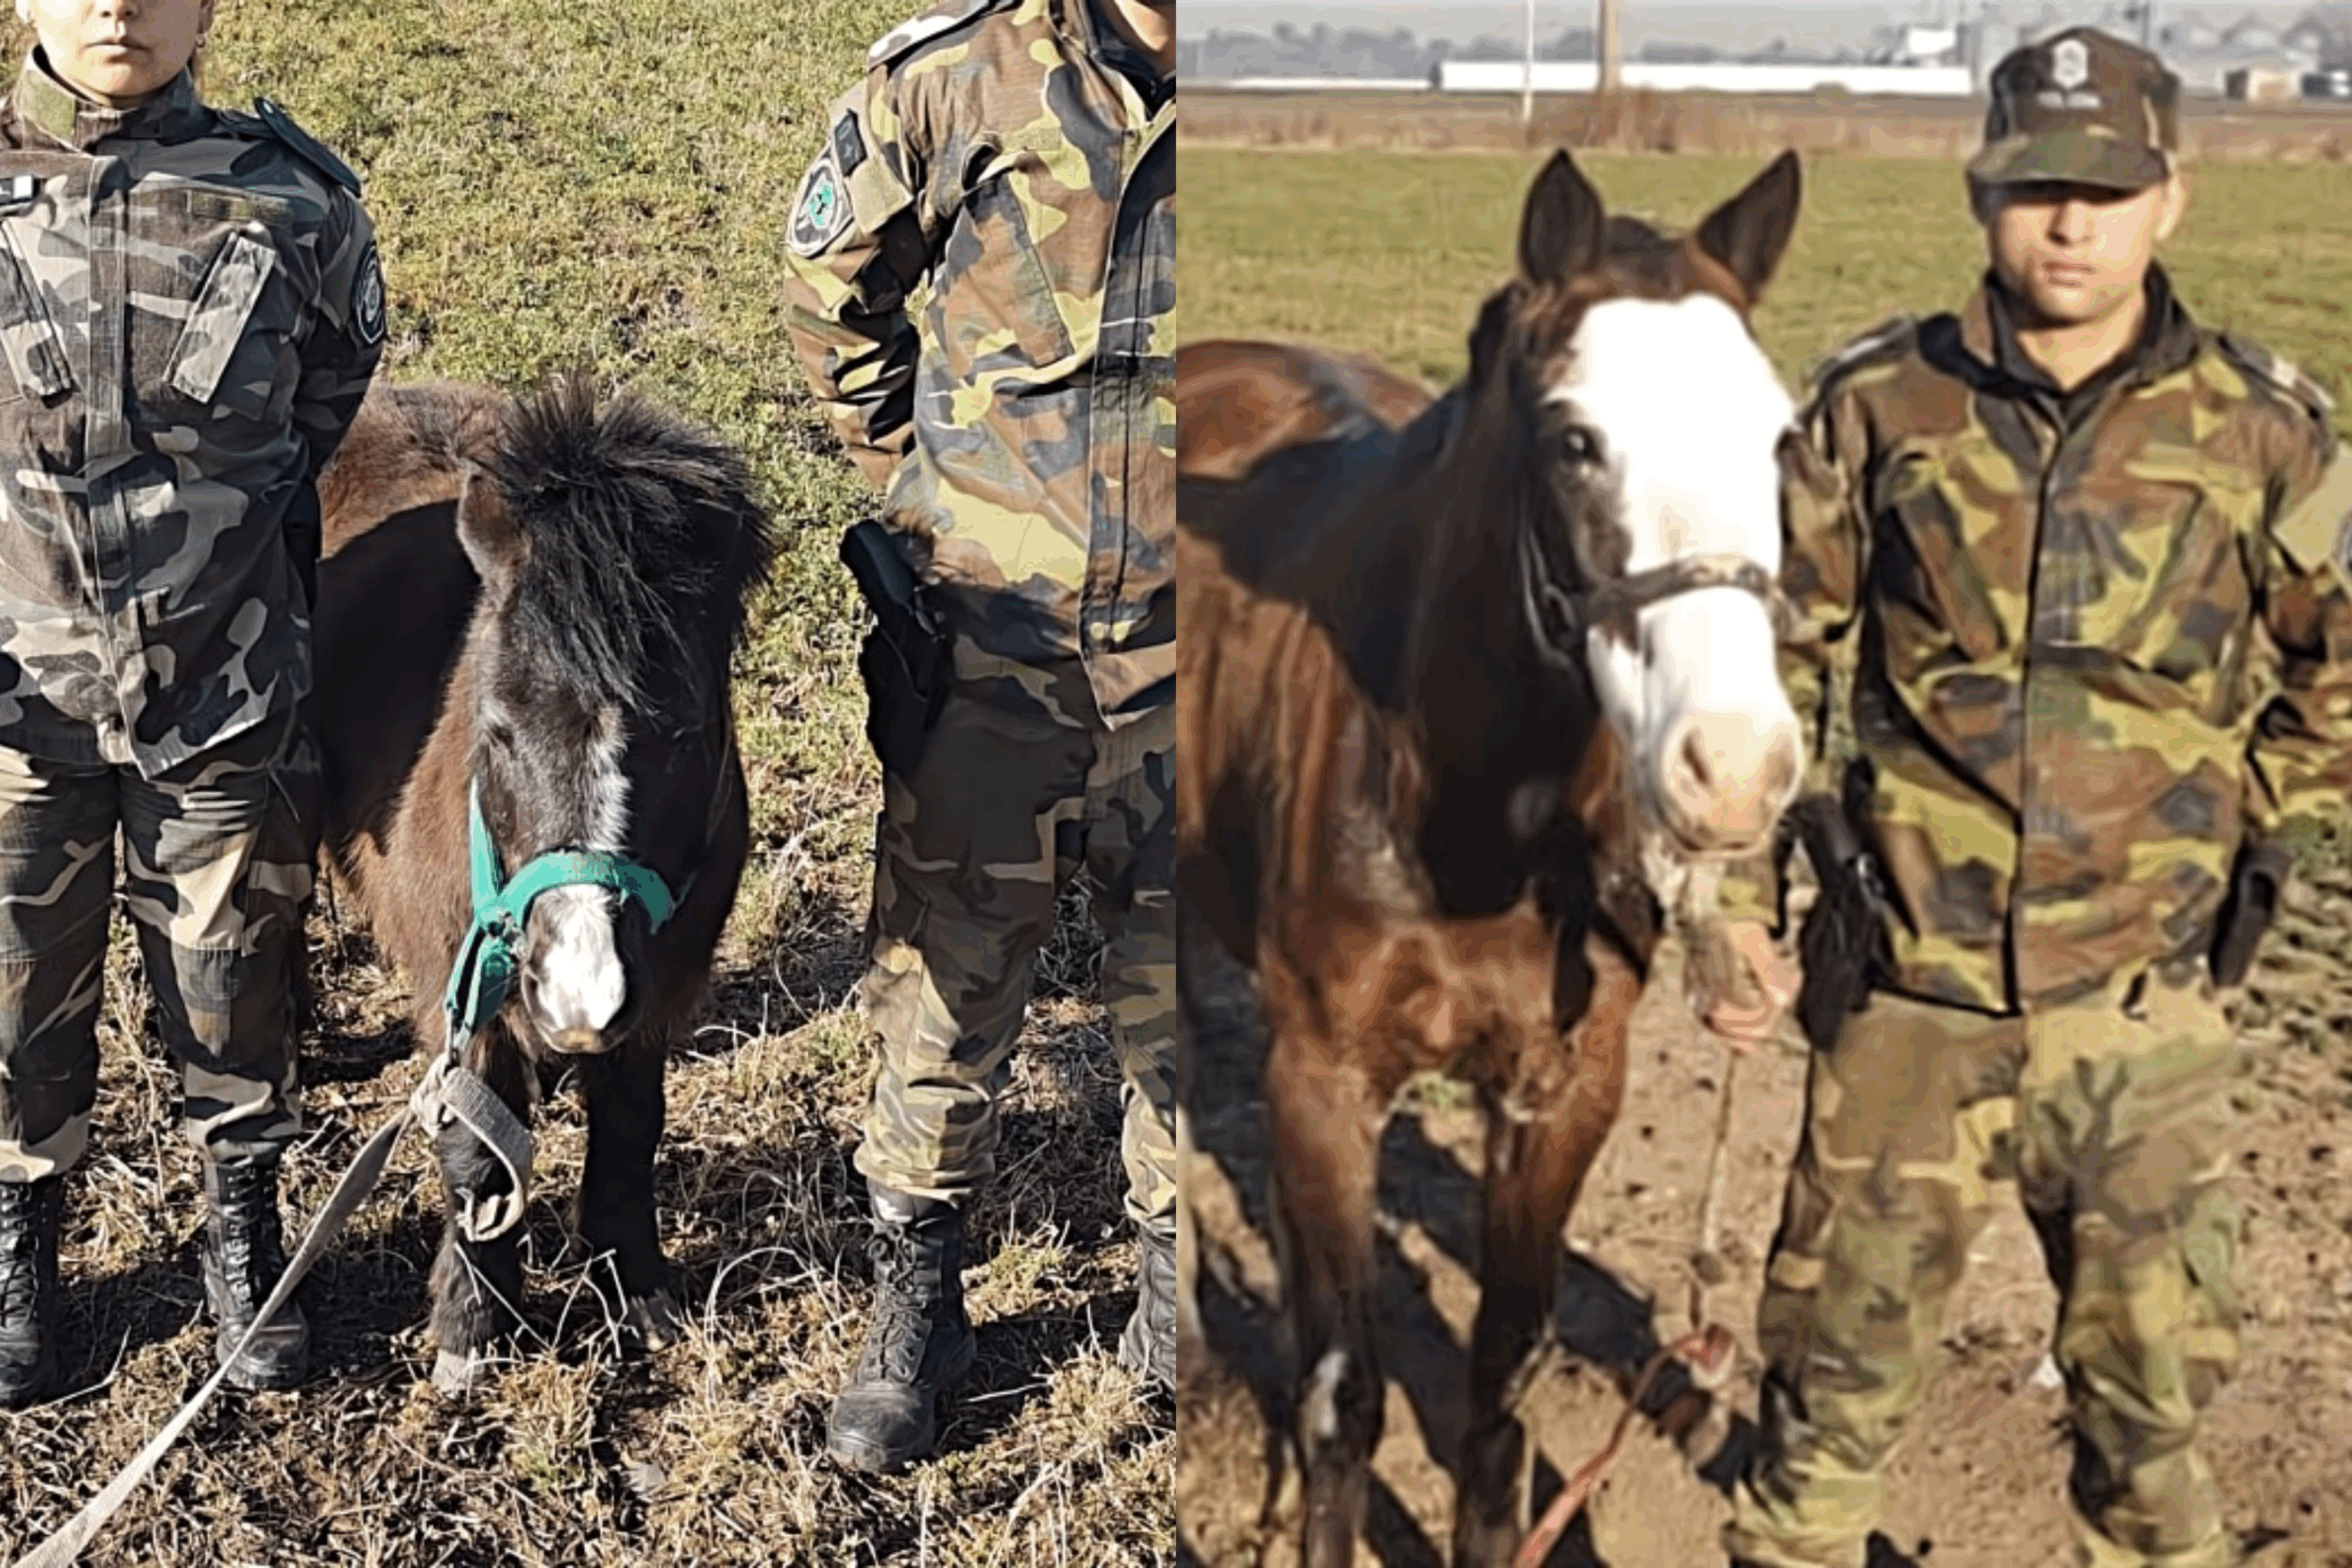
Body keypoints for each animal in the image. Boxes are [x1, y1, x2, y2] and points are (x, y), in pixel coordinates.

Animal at [304, 374, 775, 1394]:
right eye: (497, 724)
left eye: (687, 732)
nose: (576, 996)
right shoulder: (462, 999)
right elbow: (478, 1156)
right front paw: (473, 1335)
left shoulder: (659, 996)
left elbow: (632, 1129)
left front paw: (635, 1289)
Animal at [1175, 147, 1807, 1566]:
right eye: (1574, 439)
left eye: (1781, 437)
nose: (1737, 768)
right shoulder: (1328, 1080)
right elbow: (1345, 1397)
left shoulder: (1560, 1093)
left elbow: (1498, 1391)